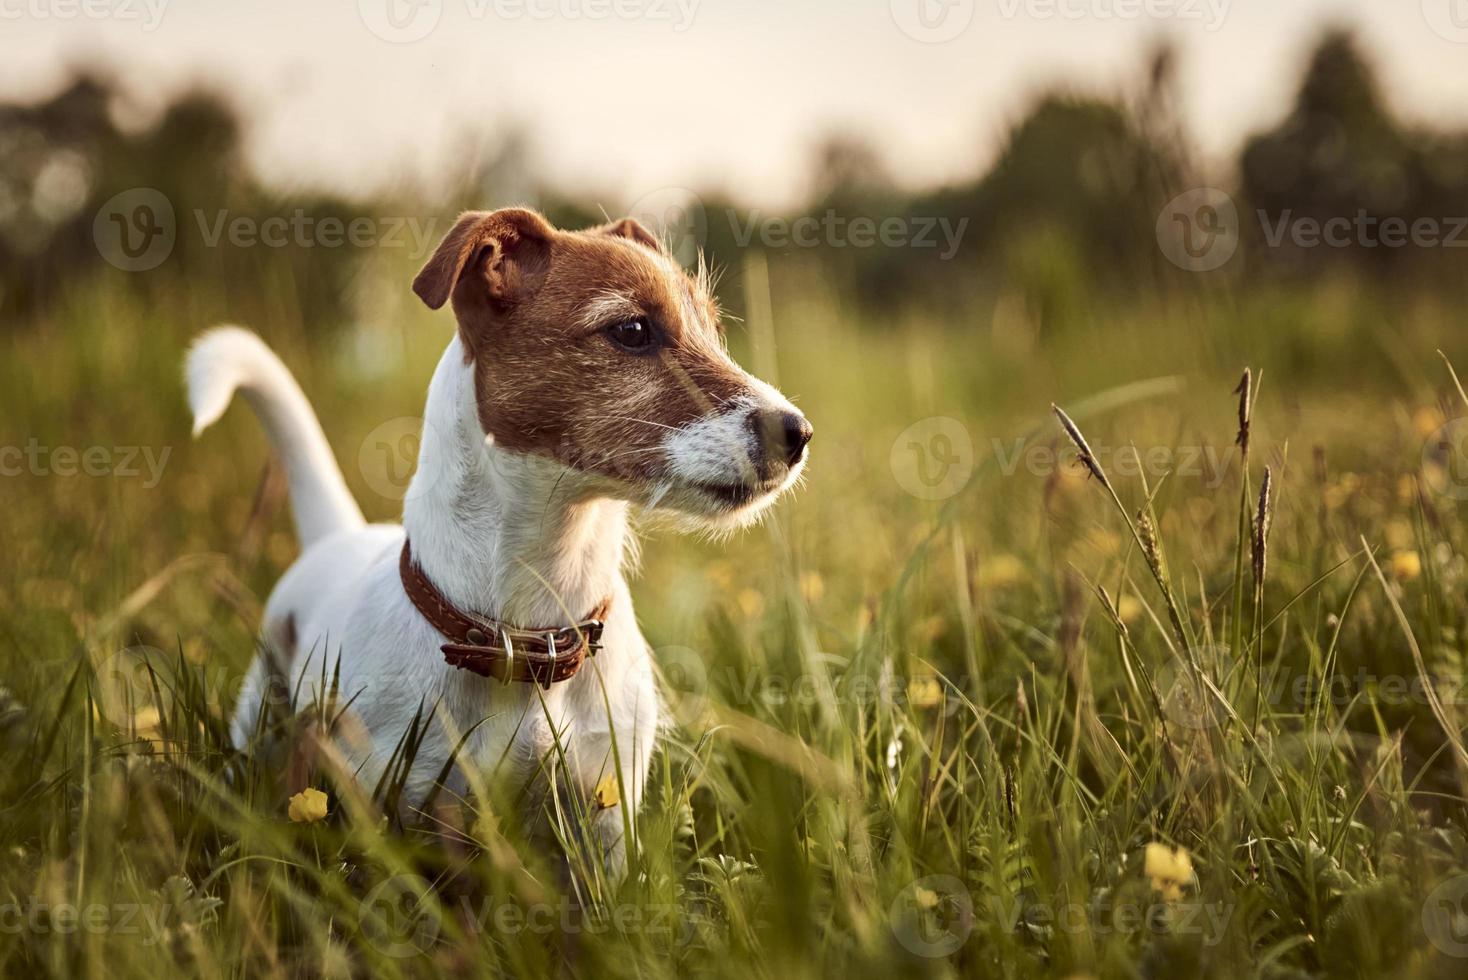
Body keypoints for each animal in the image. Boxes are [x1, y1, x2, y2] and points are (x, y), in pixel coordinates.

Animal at [184, 211, 816, 868]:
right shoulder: (400, 804)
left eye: (714, 331)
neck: (531, 635)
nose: (798, 433)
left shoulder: (606, 821)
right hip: (258, 717)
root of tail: (339, 534)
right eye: (632, 330)